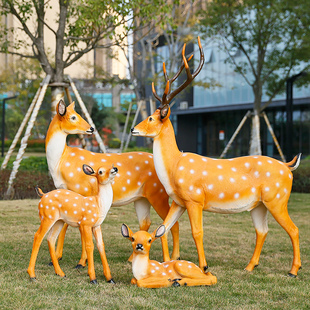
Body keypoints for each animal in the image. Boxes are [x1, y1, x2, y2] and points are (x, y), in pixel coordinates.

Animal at [46, 100, 179, 266]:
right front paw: (57, 258)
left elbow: (71, 226)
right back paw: (133, 258)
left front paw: (80, 262)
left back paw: (173, 258)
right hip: (141, 198)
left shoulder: (82, 191)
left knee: (172, 223)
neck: (60, 162)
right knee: (146, 222)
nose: (91, 128)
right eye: (73, 116)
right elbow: (66, 224)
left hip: (158, 194)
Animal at [131, 37, 302, 278]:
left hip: (277, 198)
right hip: (259, 204)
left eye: (152, 118)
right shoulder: (179, 201)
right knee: (262, 230)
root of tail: (288, 167)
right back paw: (249, 266)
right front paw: (168, 262)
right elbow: (161, 229)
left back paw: (293, 271)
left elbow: (197, 232)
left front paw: (204, 267)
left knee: (294, 229)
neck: (174, 167)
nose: (133, 129)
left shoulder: (194, 198)